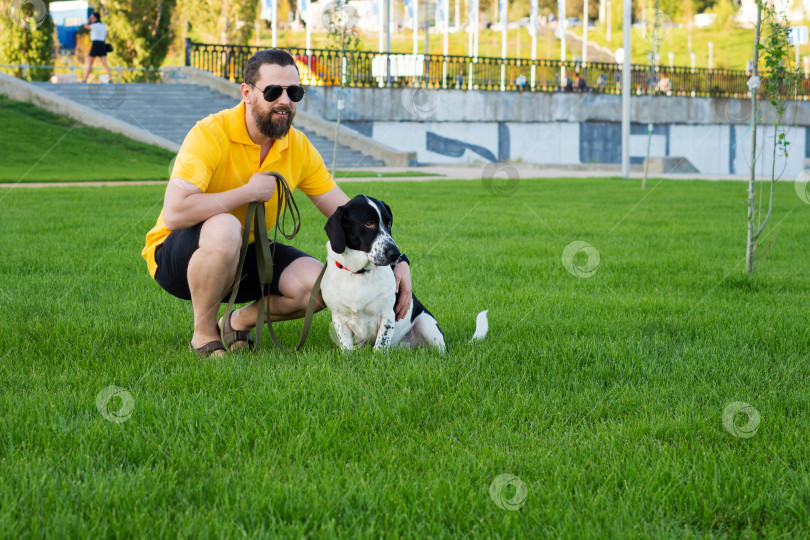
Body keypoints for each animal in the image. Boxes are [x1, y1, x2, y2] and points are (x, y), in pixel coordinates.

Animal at [320, 196, 446, 352]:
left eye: (389, 223)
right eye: (369, 223)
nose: (395, 253)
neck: (358, 273)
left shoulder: (387, 314)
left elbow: (381, 344)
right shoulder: (339, 317)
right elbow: (346, 346)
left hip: (427, 324)